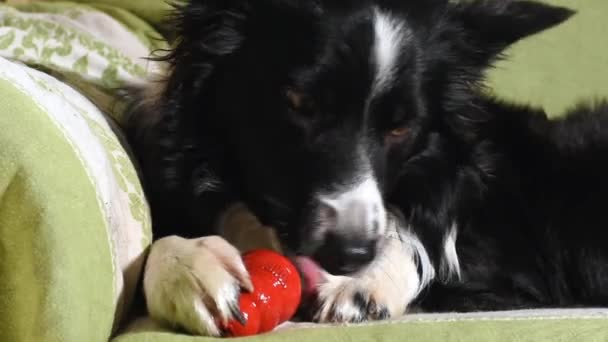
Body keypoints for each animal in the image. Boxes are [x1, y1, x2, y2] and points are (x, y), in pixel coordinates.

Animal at [126, 0, 608, 336]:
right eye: (301, 104)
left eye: (401, 127)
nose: (351, 255)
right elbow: (158, 243)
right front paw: (190, 267)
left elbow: (426, 248)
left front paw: (370, 280)